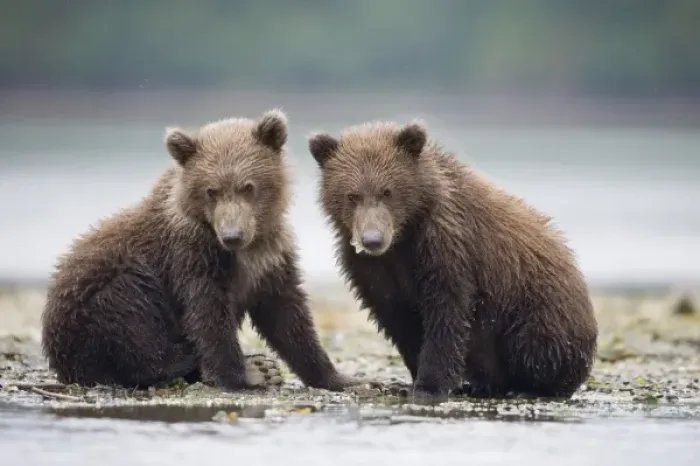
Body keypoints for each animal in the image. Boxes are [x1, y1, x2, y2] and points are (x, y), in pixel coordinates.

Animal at [42, 109, 357, 392]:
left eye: (248, 187)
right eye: (211, 190)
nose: (232, 235)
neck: (245, 249)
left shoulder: (270, 256)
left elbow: (287, 315)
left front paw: (338, 377)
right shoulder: (192, 255)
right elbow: (208, 314)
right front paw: (244, 375)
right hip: (97, 298)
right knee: (130, 314)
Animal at [307, 120, 598, 399]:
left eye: (387, 192)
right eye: (352, 195)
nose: (372, 240)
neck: (404, 237)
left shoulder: (446, 248)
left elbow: (447, 315)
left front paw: (429, 385)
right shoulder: (371, 269)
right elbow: (398, 319)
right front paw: (413, 379)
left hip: (538, 305)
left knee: (537, 345)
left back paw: (529, 386)